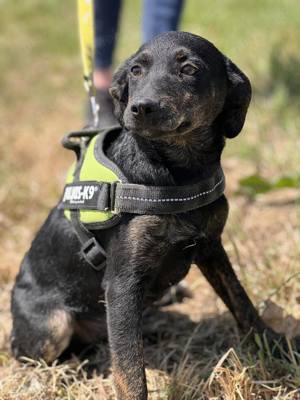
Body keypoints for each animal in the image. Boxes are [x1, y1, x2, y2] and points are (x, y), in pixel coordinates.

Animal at [10, 32, 296, 400]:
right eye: (135, 70)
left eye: (189, 69)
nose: (141, 107)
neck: (177, 170)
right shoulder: (121, 284)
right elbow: (131, 372)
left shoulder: (211, 246)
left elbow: (241, 300)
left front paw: (276, 346)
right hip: (52, 327)